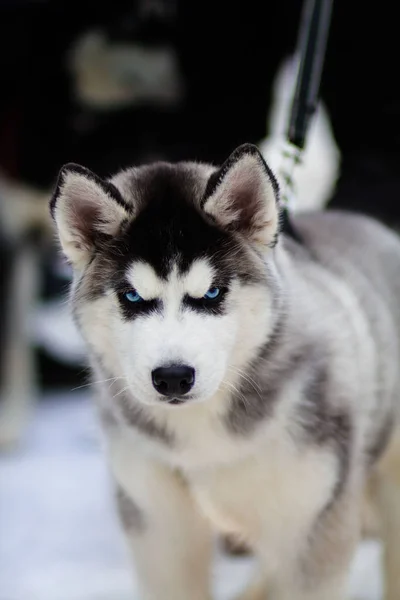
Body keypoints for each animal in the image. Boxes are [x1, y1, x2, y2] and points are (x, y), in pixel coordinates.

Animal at [50, 146, 400, 600]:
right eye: (132, 296)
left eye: (213, 292)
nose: (173, 377)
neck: (204, 443)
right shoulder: (159, 528)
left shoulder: (313, 524)